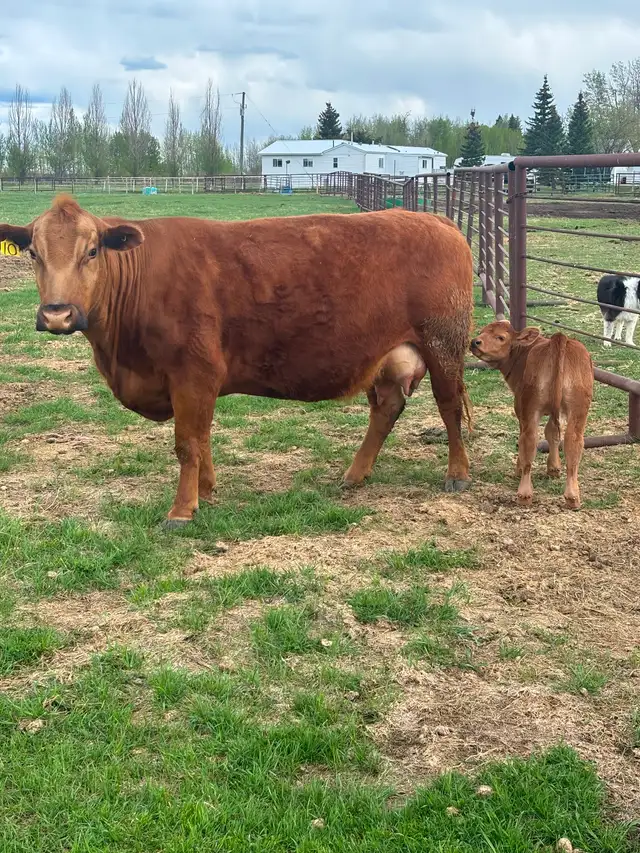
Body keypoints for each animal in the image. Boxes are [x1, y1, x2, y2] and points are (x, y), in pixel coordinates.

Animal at [0, 195, 474, 528]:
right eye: (33, 253)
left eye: (93, 251)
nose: (57, 314)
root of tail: (436, 220)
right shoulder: (195, 384)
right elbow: (201, 437)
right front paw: (206, 492)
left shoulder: (193, 373)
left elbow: (187, 443)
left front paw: (181, 510)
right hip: (388, 359)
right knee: (386, 409)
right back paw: (355, 474)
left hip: (444, 345)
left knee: (449, 407)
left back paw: (458, 473)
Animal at [470, 320, 593, 510]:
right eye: (482, 331)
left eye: (501, 337)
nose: (475, 342)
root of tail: (558, 339)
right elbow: (552, 434)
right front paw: (554, 468)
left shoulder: (520, 408)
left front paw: (519, 468)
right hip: (578, 410)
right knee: (573, 443)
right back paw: (572, 497)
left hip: (530, 408)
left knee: (528, 440)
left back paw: (524, 494)